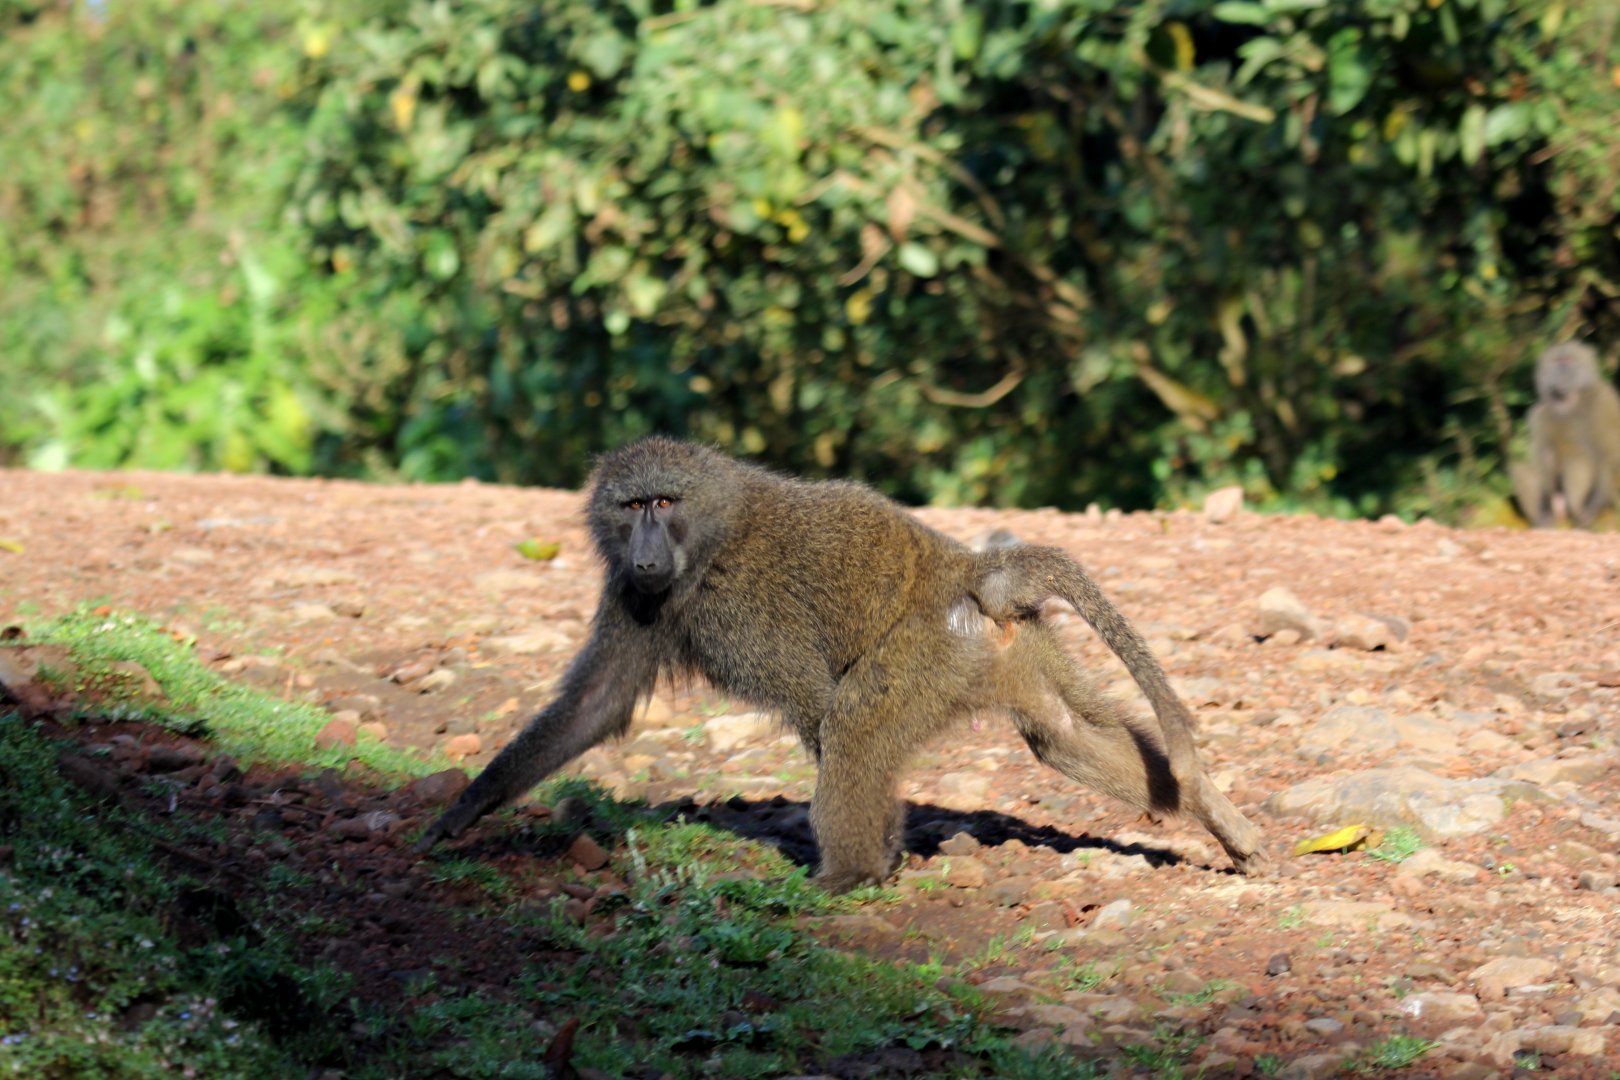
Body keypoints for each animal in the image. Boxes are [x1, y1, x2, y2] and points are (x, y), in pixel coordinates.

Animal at [415, 437, 1269, 890]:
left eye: (664, 503)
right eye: (630, 508)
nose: (648, 554)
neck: (710, 540)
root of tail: (967, 572)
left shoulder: (750, 611)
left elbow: (817, 706)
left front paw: (878, 852)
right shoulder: (633, 595)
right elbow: (595, 703)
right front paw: (467, 809)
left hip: (923, 648)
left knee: (857, 723)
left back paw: (845, 877)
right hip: (1004, 650)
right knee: (1060, 735)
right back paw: (1214, 817)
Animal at [1511, 341, 1620, 529]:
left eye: (1568, 360)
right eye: (1557, 361)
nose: (1561, 374)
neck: (1571, 403)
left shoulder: (1604, 403)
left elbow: (1610, 455)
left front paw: (1593, 507)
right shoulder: (1538, 414)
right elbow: (1542, 457)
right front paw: (1544, 507)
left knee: (1577, 455)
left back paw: (1581, 511)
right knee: (1522, 468)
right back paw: (1545, 522)